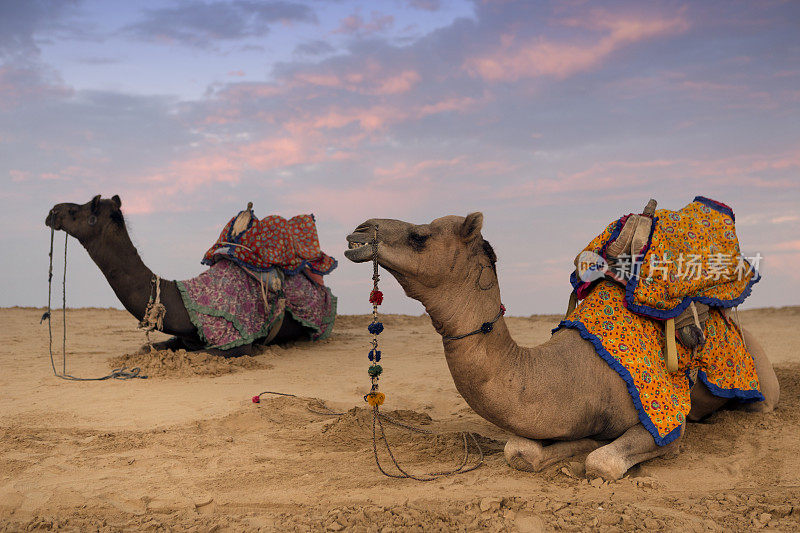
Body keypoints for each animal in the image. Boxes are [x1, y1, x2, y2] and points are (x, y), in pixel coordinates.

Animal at [346, 212, 780, 478]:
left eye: (420, 236)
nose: (360, 231)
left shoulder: (666, 423)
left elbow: (603, 462)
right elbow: (520, 452)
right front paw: (574, 448)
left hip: (761, 382)